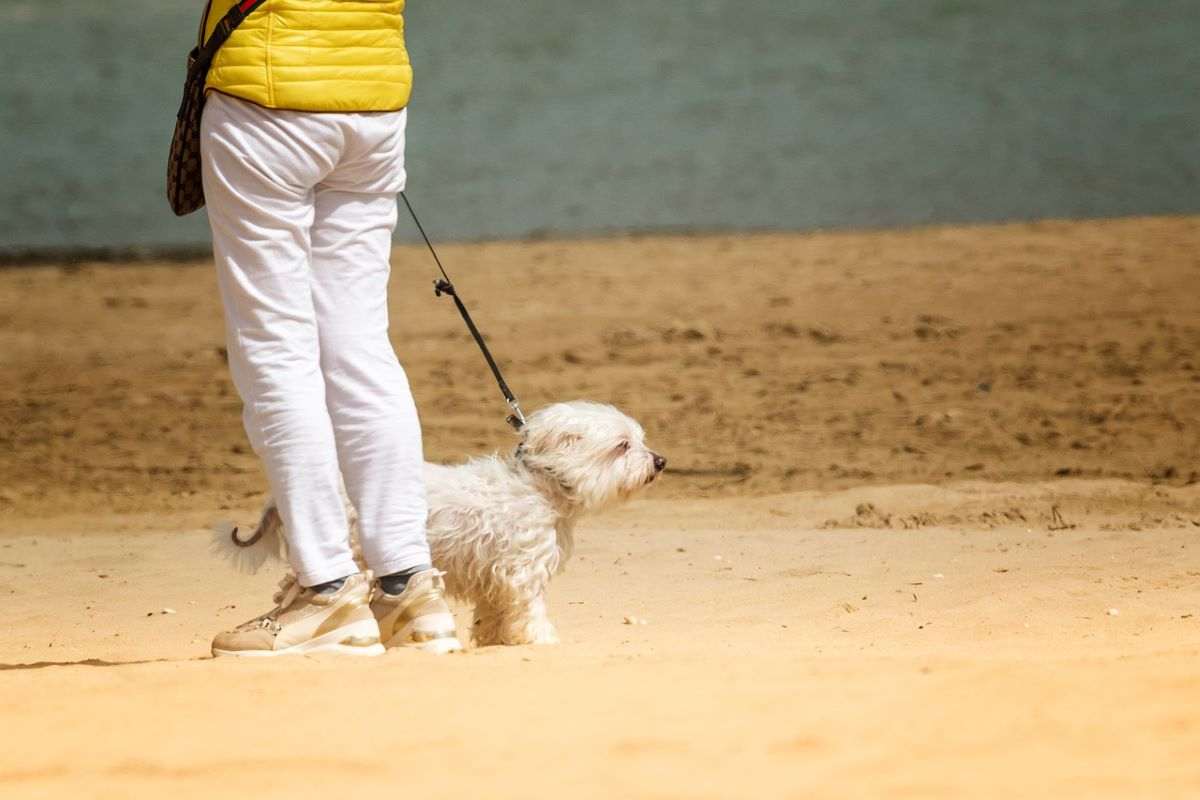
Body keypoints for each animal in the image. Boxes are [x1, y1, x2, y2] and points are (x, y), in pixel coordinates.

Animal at [216, 402, 667, 647]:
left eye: (640, 441)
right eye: (622, 446)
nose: (661, 461)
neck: (538, 485)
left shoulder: (496, 574)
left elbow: (494, 612)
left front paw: (495, 640)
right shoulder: (523, 571)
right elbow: (530, 609)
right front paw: (541, 639)